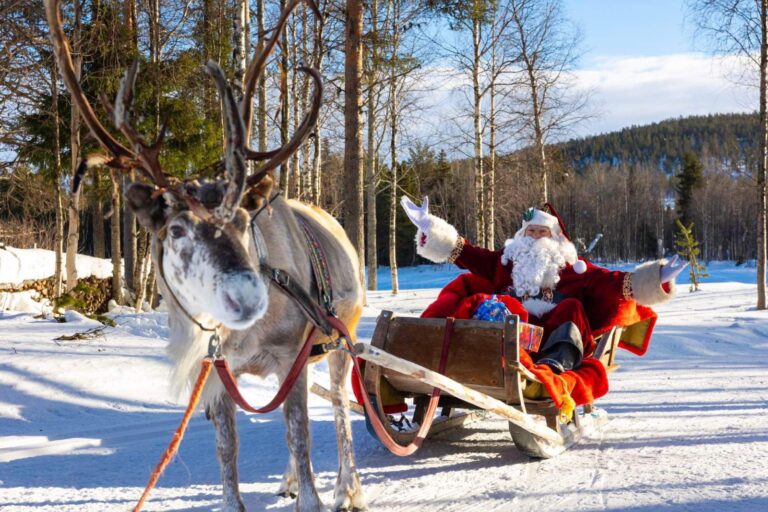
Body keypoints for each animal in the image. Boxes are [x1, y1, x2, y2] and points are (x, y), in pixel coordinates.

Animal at [44, 1, 367, 510]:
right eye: (176, 229)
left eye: (244, 221)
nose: (245, 296)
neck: (237, 336)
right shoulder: (214, 372)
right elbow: (227, 449)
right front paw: (245, 497)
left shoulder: (291, 355)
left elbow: (301, 435)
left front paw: (315, 496)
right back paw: (290, 481)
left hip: (341, 338)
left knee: (337, 410)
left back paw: (348, 489)